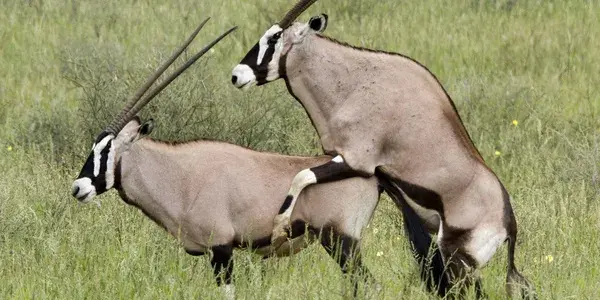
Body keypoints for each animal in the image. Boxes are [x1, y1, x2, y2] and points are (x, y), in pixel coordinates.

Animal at [70, 19, 380, 298]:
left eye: (106, 150)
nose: (77, 188)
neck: (179, 176)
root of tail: (372, 176)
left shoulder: (221, 250)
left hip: (340, 241)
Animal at [232, 1, 536, 298]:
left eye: (274, 38)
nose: (236, 75)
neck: (354, 82)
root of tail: (509, 224)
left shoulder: (355, 161)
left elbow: (301, 176)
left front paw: (278, 229)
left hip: (457, 258)